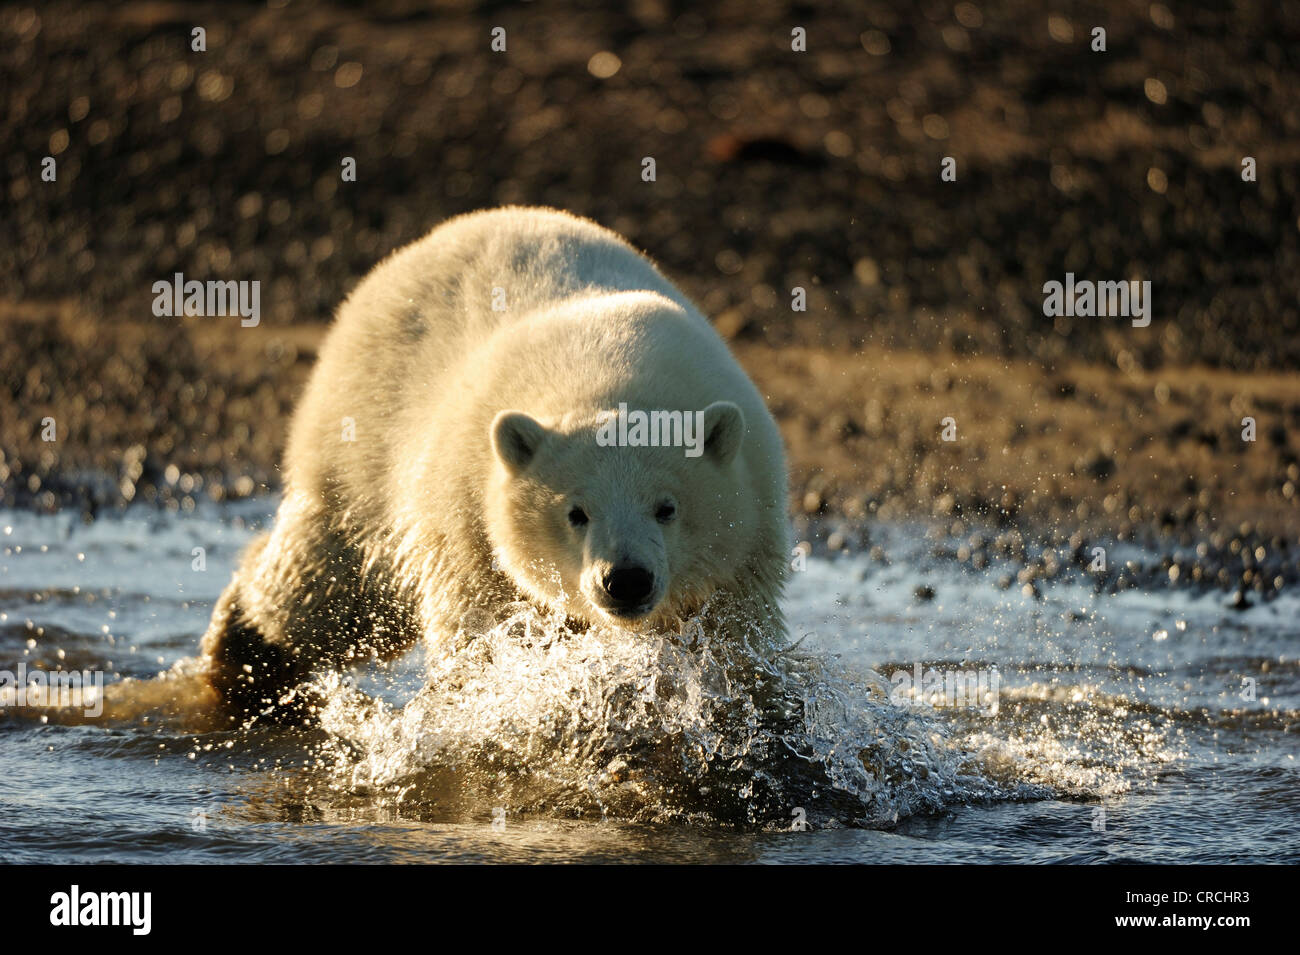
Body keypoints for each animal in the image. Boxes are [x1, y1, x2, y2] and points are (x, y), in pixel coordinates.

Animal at [200, 206, 790, 721]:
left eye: (667, 508)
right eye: (577, 513)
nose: (625, 580)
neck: (612, 368)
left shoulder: (749, 537)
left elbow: (732, 644)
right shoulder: (467, 523)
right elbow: (481, 637)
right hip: (359, 443)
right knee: (326, 589)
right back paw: (245, 663)